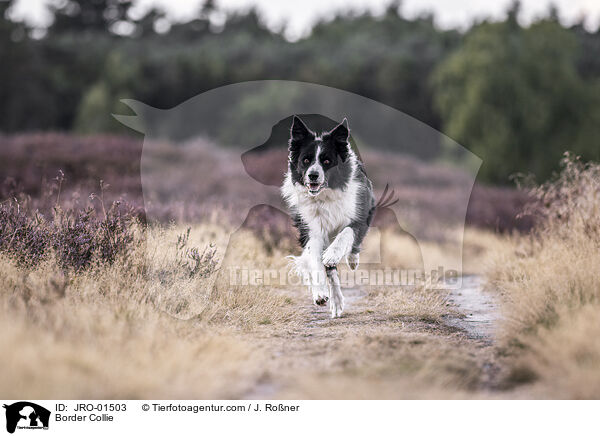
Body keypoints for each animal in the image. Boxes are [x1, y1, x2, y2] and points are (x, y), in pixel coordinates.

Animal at [282, 116, 376, 316]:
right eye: (306, 160)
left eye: (326, 161)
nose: (313, 175)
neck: (325, 196)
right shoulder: (311, 229)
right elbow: (316, 261)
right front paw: (320, 293)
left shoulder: (358, 216)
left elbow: (346, 234)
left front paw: (333, 254)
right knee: (329, 271)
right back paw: (336, 300)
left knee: (352, 246)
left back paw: (351, 260)